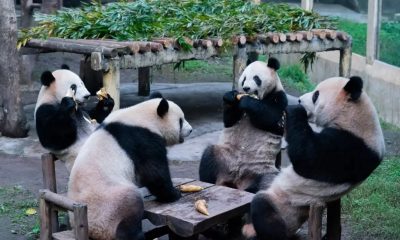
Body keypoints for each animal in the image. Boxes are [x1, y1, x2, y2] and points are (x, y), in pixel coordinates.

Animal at [68, 93, 193, 240]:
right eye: (181, 121)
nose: (190, 130)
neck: (143, 117)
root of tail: (92, 230)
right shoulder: (142, 139)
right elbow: (154, 173)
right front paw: (174, 194)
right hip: (109, 202)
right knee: (131, 205)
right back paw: (135, 234)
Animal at [199, 58, 288, 193]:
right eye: (244, 78)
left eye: (256, 78)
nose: (246, 88)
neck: (260, 97)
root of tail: (236, 182)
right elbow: (229, 120)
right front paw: (230, 97)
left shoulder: (279, 97)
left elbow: (274, 119)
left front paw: (247, 101)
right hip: (224, 156)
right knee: (208, 157)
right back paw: (207, 181)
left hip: (262, 168)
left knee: (268, 179)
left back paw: (252, 189)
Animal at [248, 76, 386, 240]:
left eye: (316, 95)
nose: (299, 100)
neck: (353, 116)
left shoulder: (352, 147)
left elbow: (308, 159)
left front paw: (295, 110)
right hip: (273, 181)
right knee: (259, 180)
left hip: (288, 205)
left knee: (263, 210)